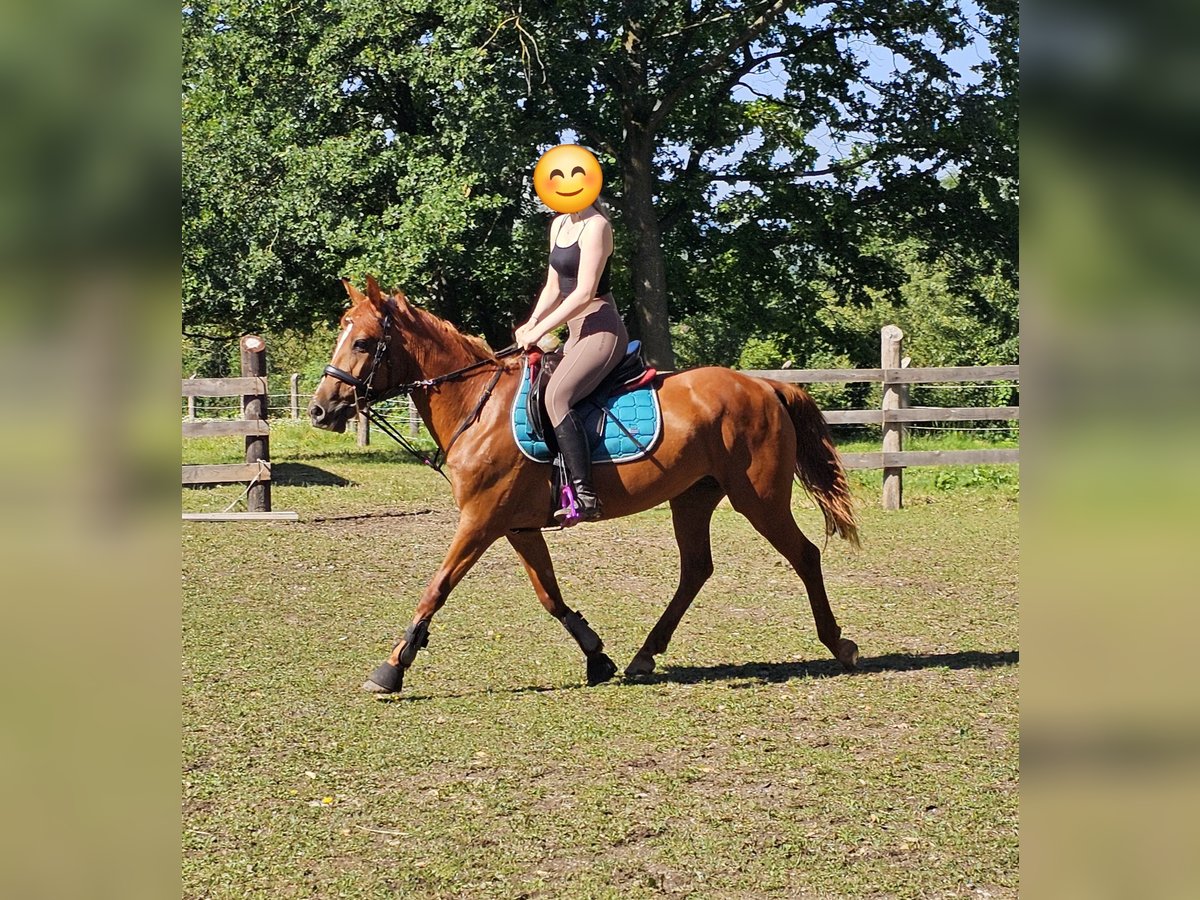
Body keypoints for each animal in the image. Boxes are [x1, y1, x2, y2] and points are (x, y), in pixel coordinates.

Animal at [308, 275, 861, 694]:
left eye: (362, 343)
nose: (319, 410)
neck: (477, 403)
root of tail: (765, 385)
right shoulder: (517, 526)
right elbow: (550, 596)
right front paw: (598, 657)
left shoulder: (481, 520)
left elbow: (436, 588)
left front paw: (391, 669)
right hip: (693, 497)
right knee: (696, 570)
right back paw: (644, 656)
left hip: (759, 498)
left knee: (804, 555)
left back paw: (839, 644)